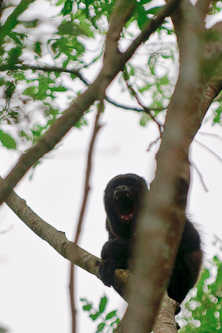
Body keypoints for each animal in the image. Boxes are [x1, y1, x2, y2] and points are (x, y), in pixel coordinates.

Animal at [99, 172, 203, 304]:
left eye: (130, 183)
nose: (120, 188)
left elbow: (192, 239)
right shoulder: (109, 225)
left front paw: (113, 247)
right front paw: (111, 260)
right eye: (114, 186)